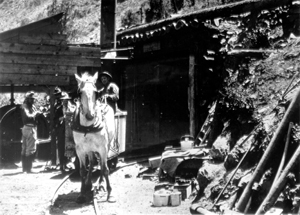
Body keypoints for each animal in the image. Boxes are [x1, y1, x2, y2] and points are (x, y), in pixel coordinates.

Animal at [71, 72, 116, 203]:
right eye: (80, 92)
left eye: (96, 92)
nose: (90, 116)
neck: (88, 127)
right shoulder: (80, 149)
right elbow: (82, 170)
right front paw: (81, 193)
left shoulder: (103, 148)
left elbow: (105, 169)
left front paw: (110, 193)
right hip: (90, 148)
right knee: (91, 162)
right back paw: (88, 184)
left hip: (107, 145)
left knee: (101, 163)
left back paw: (100, 184)